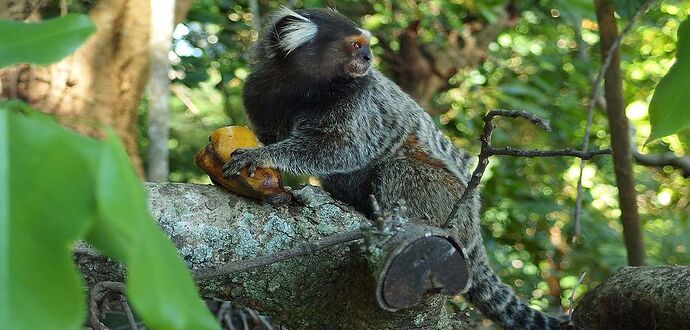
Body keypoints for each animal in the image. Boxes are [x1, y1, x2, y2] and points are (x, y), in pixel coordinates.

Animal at [223, 6, 560, 328]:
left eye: (366, 45)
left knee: (397, 168)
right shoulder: (256, 92)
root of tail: (473, 220)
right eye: (356, 45)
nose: (368, 58)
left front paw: (264, 156)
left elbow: (344, 148)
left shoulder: (358, 98)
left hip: (448, 200)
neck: (302, 87)